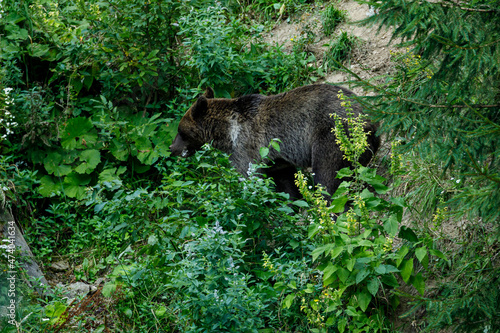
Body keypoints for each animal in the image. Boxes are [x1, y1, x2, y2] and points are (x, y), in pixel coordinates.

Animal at [169, 84, 378, 198]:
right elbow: (287, 186)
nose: (172, 148)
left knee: (327, 178)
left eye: (180, 131)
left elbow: (249, 178)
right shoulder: (277, 161)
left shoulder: (245, 149)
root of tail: (368, 118)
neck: (227, 133)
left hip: (331, 135)